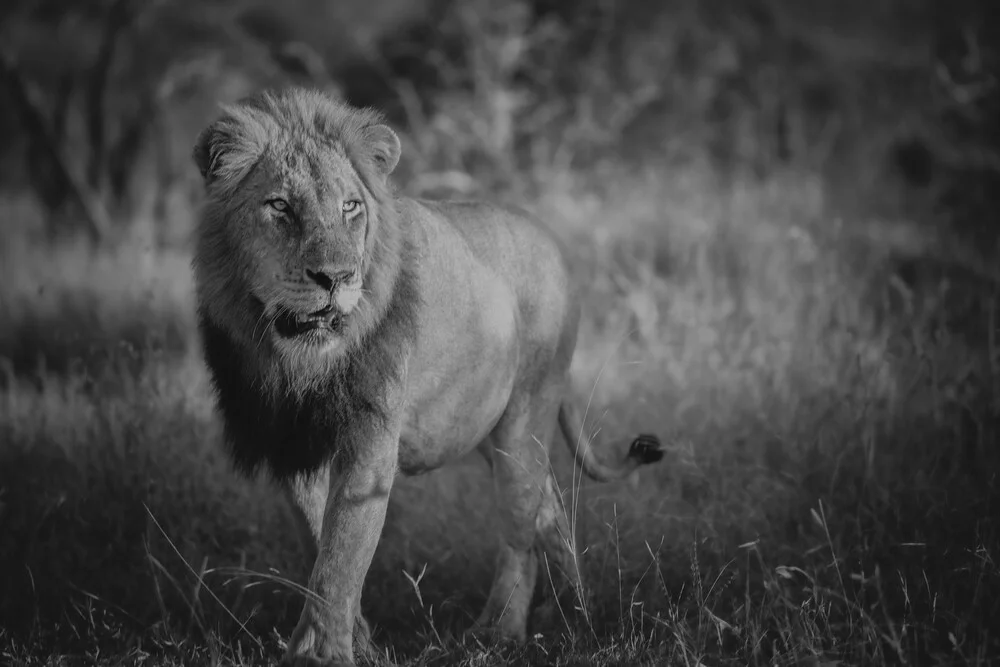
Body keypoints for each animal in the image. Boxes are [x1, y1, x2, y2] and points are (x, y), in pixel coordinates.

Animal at [193, 90, 664, 667]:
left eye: (350, 207)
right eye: (280, 206)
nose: (337, 278)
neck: (296, 362)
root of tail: (551, 238)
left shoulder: (370, 437)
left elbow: (344, 549)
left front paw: (321, 654)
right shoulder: (292, 440)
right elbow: (319, 543)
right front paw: (359, 641)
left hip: (525, 417)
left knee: (520, 528)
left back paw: (501, 632)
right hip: (486, 427)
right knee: (550, 508)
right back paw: (577, 618)